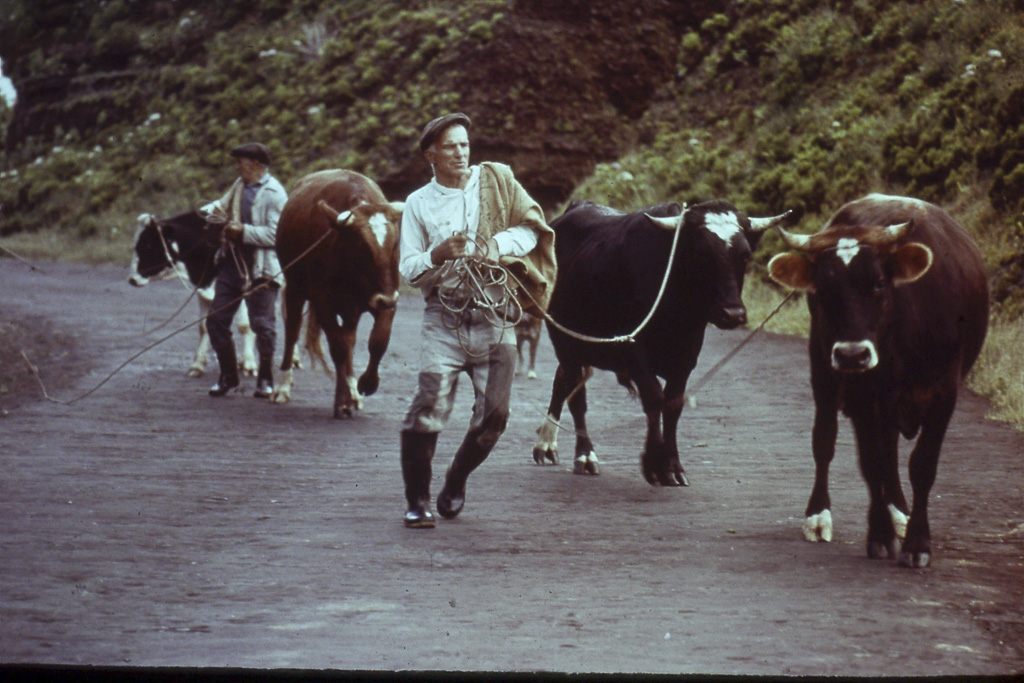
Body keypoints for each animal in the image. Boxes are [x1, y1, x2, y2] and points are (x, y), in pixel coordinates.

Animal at [128, 209, 258, 376]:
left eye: (148, 244)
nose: (132, 279)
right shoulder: (204, 291)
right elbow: (203, 326)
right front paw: (197, 364)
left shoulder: (243, 288)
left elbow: (244, 325)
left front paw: (249, 365)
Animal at [272, 169, 403, 417]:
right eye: (363, 246)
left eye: (394, 244)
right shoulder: (323, 302)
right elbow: (339, 348)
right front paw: (344, 398)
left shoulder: (386, 297)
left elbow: (378, 341)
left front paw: (366, 383)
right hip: (294, 288)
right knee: (292, 331)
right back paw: (282, 386)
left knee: (349, 337)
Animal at [532, 198, 786, 485]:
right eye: (702, 254)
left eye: (744, 255)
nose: (733, 314)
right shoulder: (633, 348)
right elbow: (654, 398)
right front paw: (655, 463)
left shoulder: (687, 356)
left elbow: (673, 404)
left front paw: (673, 465)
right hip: (565, 343)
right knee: (576, 396)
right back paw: (584, 455)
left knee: (562, 381)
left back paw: (547, 445)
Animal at [770, 194, 987, 569]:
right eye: (823, 291)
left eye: (879, 284)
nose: (852, 354)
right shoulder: (861, 394)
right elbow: (871, 462)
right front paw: (880, 535)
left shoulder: (945, 392)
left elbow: (921, 465)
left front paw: (916, 541)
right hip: (824, 369)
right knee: (826, 440)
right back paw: (819, 515)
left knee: (891, 451)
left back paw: (900, 512)